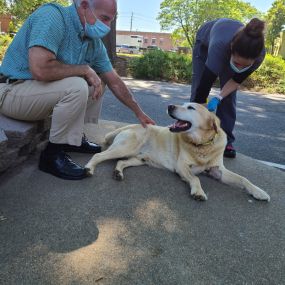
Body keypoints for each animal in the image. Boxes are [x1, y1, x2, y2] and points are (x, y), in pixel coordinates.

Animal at [84, 103, 268, 201]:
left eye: (191, 107)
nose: (170, 105)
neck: (202, 144)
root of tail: (131, 125)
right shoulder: (182, 166)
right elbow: (195, 178)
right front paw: (198, 192)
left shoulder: (218, 170)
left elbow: (244, 179)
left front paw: (259, 192)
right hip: (126, 147)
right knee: (99, 155)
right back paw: (88, 169)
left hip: (139, 158)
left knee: (121, 161)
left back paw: (118, 172)